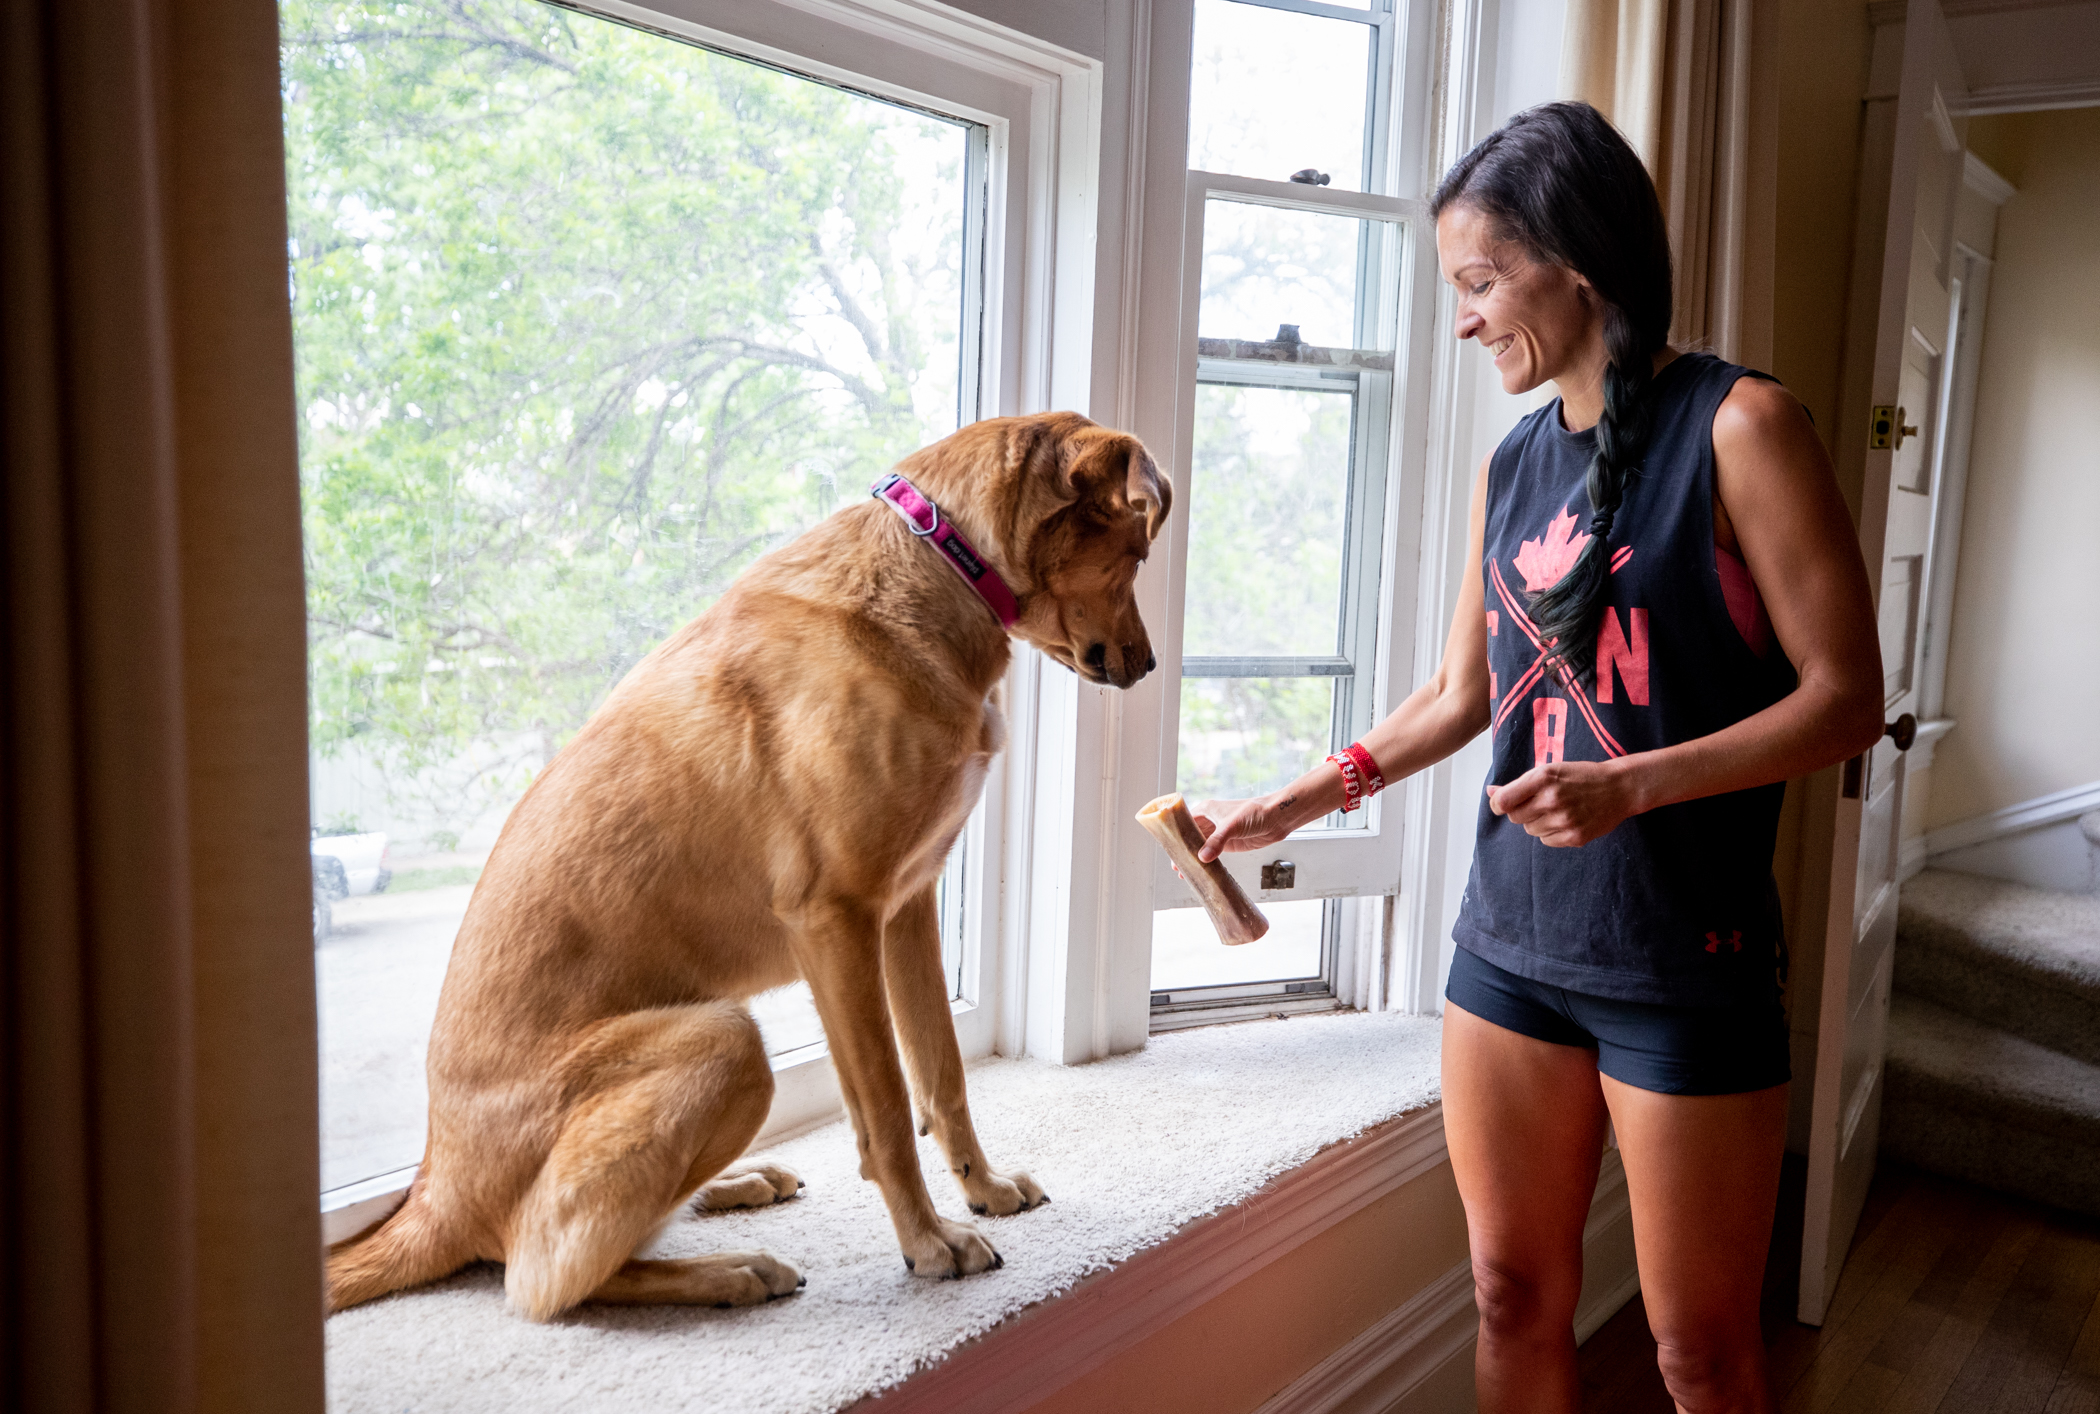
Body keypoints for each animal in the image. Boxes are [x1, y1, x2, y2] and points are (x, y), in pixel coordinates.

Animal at [336, 411, 1176, 1327]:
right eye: (1137, 556)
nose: (1149, 666)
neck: (938, 562)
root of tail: (435, 1191)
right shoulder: (836, 920)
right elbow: (887, 1108)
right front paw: (928, 1243)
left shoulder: (908, 906)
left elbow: (942, 1074)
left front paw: (980, 1189)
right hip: (725, 1040)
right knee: (542, 1280)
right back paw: (729, 1271)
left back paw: (732, 1189)